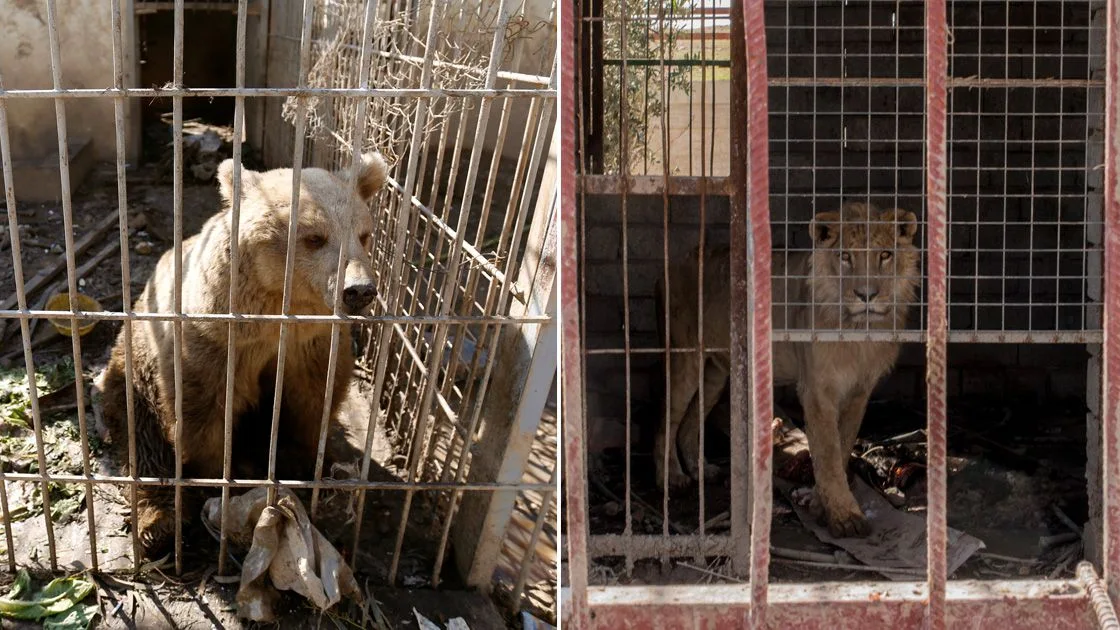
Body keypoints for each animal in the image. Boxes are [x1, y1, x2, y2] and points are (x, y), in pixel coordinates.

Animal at [100, 151, 389, 553]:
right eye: (314, 238)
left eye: (363, 234)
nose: (359, 290)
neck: (277, 310)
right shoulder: (215, 341)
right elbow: (204, 413)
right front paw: (221, 475)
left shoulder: (312, 344)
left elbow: (312, 403)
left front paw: (300, 462)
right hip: (136, 354)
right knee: (142, 432)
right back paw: (158, 524)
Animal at [654, 199, 918, 533]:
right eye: (845, 256)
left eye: (885, 255)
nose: (866, 295)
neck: (858, 331)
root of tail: (673, 263)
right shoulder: (816, 388)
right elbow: (828, 452)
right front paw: (845, 516)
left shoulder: (860, 390)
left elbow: (843, 444)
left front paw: (819, 503)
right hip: (685, 357)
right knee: (667, 418)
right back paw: (672, 479)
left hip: (716, 371)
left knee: (691, 420)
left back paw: (702, 471)